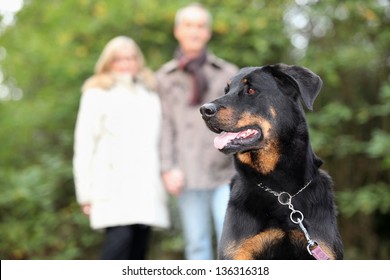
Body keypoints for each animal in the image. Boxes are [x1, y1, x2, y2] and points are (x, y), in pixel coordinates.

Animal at [200, 64, 342, 260]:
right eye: (226, 90)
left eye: (251, 90)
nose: (204, 110)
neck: (282, 193)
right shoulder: (239, 252)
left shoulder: (322, 247)